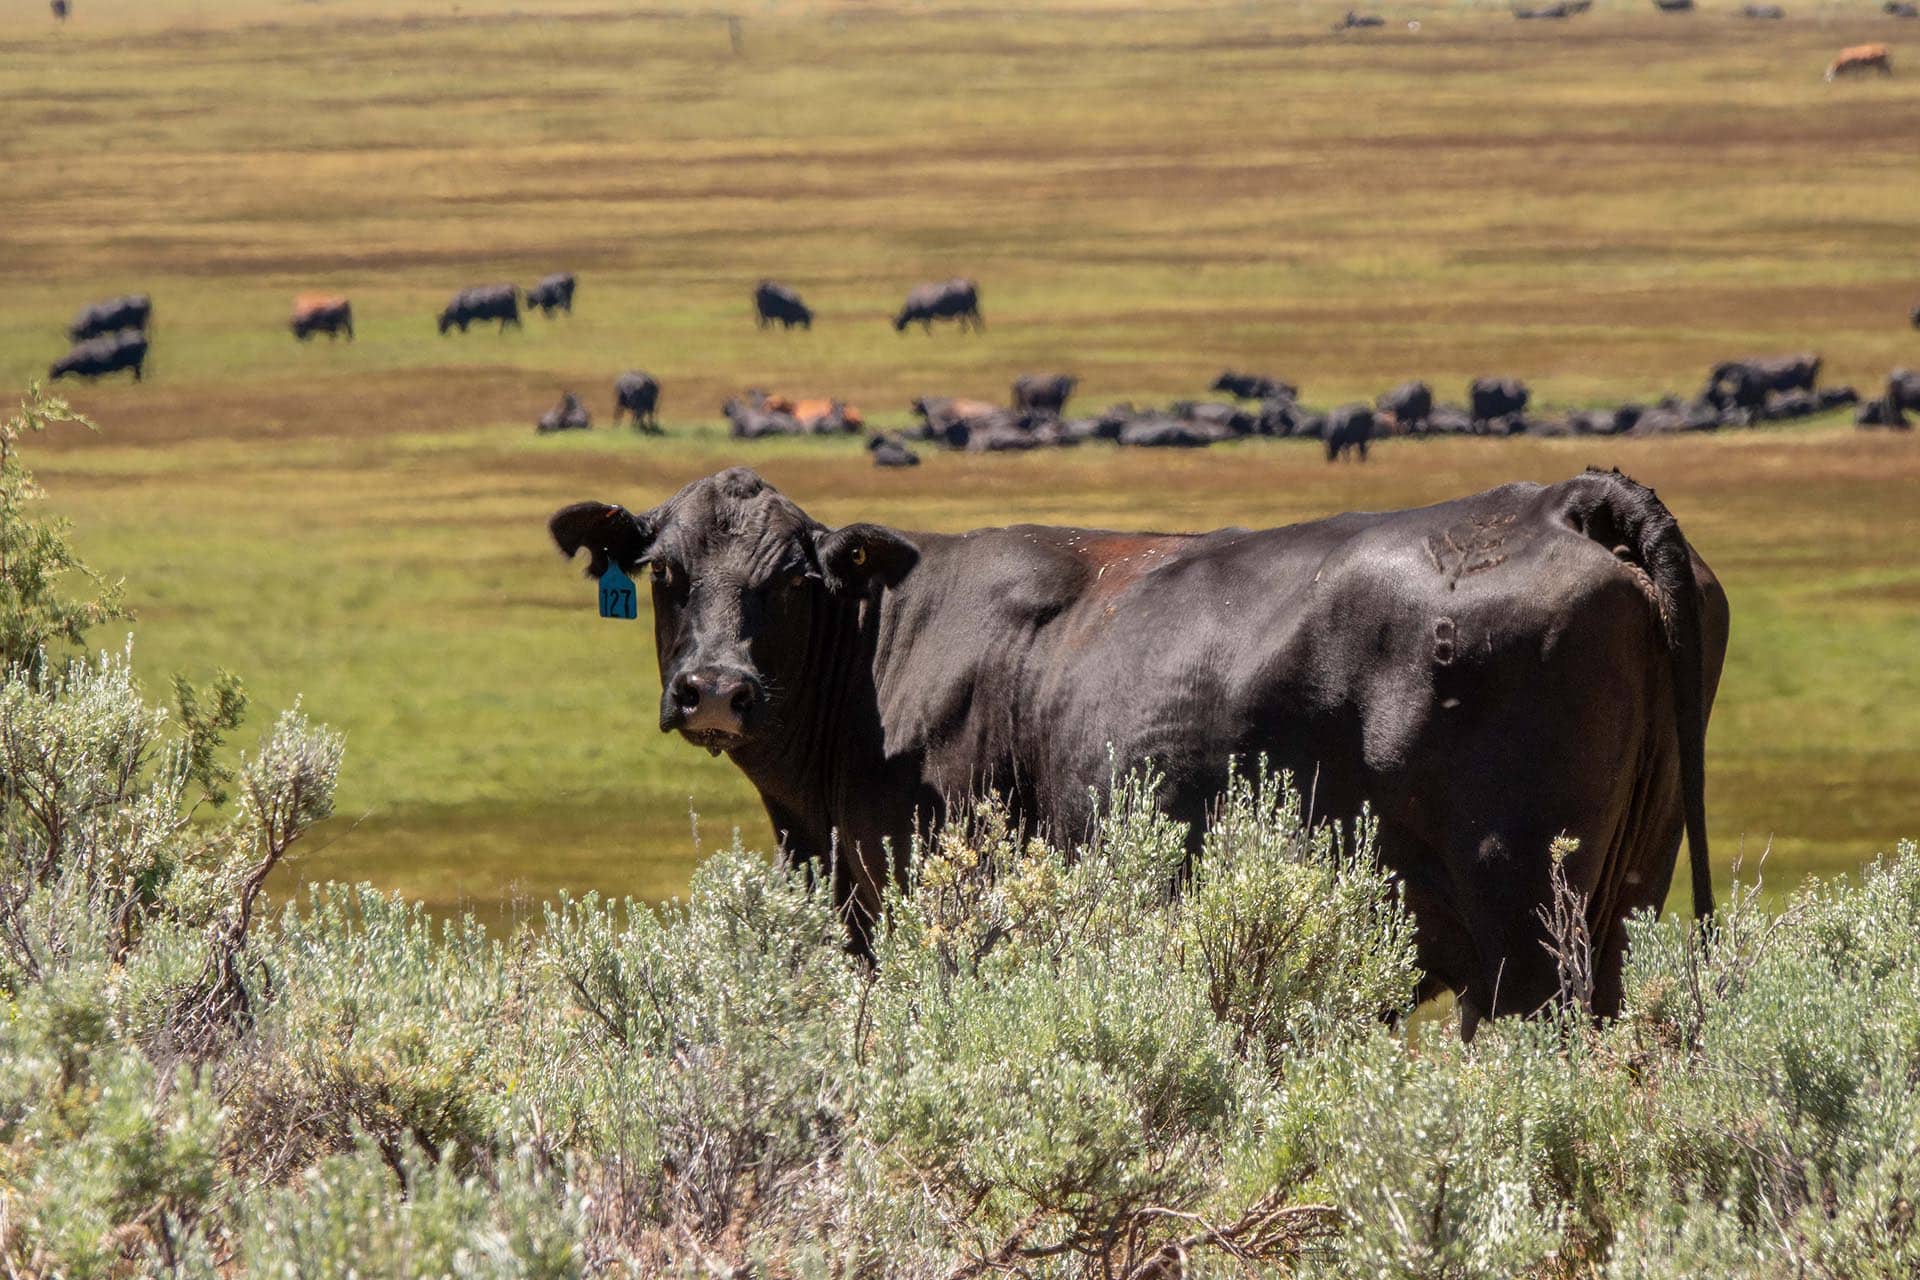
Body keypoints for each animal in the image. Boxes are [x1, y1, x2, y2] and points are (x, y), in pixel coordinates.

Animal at [549, 466, 1727, 1037]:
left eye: (793, 579)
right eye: (664, 572)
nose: (715, 686)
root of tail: (1559, 500)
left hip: (1524, 918)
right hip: (1628, 885)